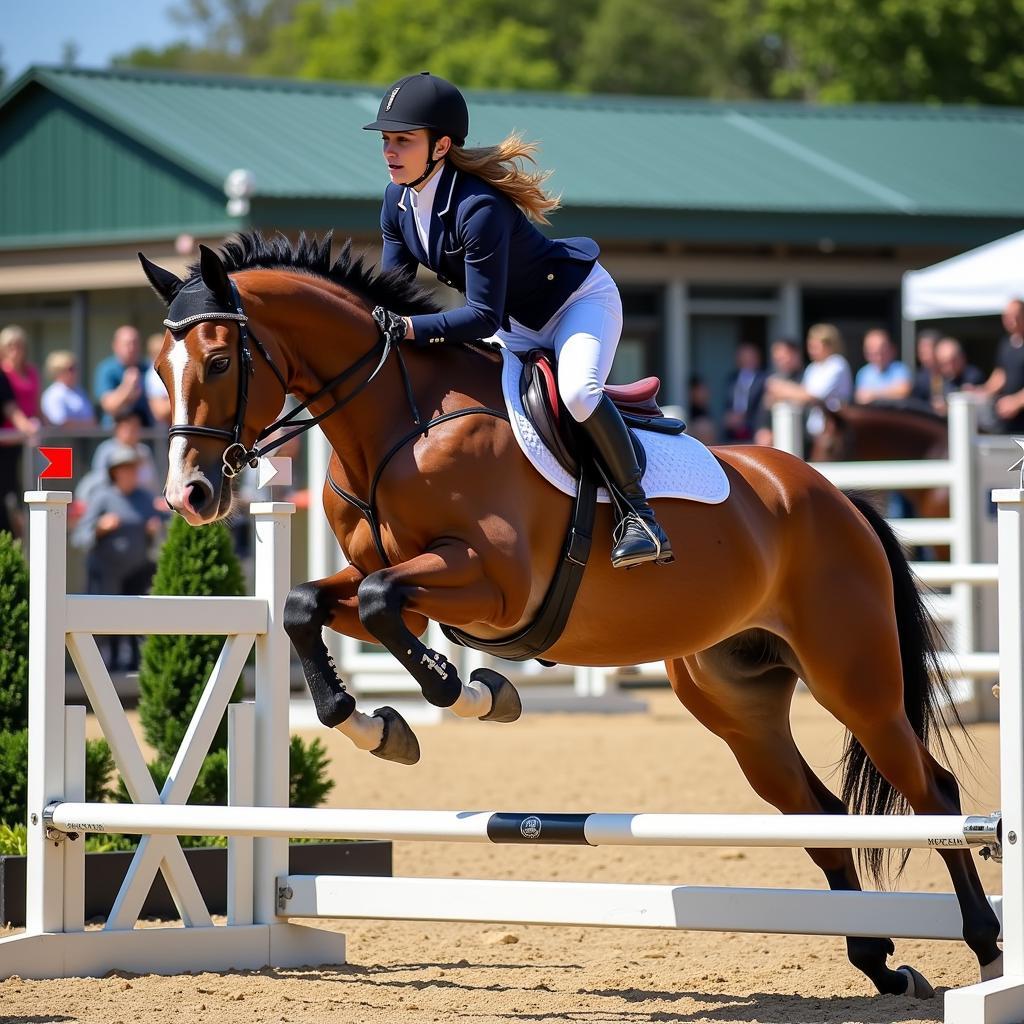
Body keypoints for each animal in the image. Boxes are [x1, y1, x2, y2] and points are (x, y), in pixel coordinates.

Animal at [138, 232, 999, 991]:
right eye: (158, 367)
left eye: (219, 359)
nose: (191, 496)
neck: (395, 424)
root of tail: (837, 497)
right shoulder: (388, 579)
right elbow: (304, 605)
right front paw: (374, 725)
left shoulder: (492, 583)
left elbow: (387, 607)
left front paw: (470, 693)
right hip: (738, 703)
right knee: (820, 813)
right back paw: (878, 963)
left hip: (856, 680)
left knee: (933, 796)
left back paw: (986, 949)